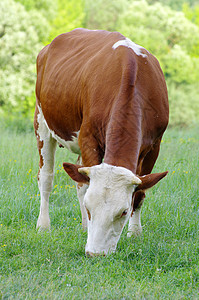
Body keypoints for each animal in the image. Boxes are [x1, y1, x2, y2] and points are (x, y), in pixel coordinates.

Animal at [34, 28, 169, 255]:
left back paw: (82, 227)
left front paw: (135, 234)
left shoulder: (155, 145)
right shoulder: (88, 137)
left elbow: (140, 192)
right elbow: (84, 186)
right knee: (46, 177)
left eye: (123, 212)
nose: (94, 253)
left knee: (79, 181)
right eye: (90, 208)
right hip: (42, 121)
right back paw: (43, 226)